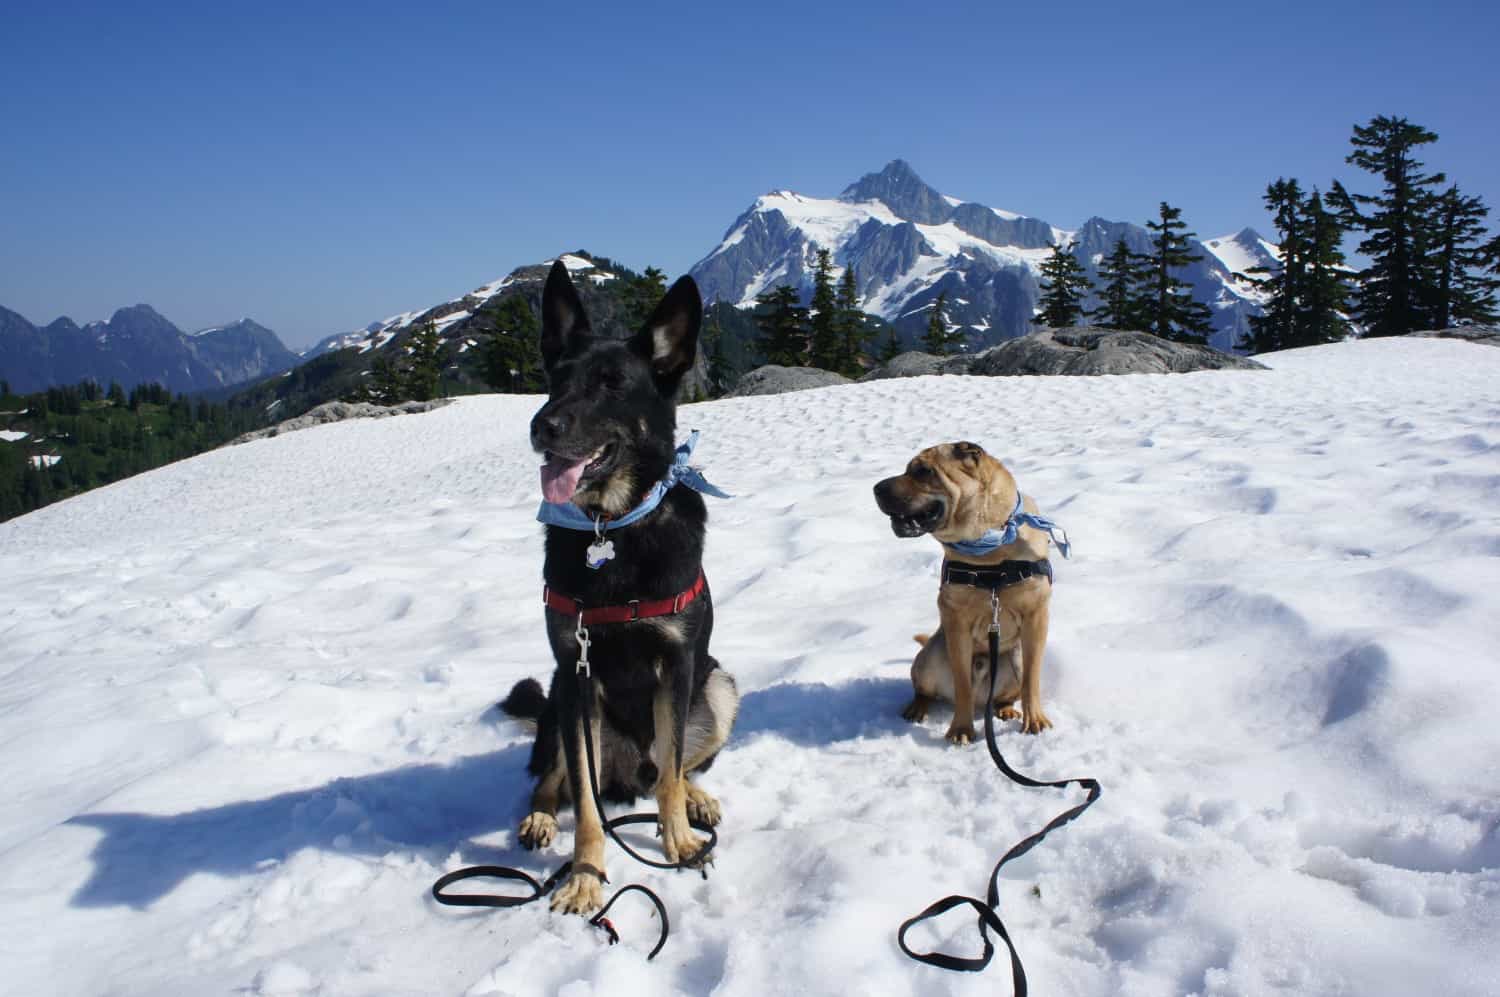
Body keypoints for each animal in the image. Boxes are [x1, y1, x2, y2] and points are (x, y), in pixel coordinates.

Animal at [501, 260, 741, 911]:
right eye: (555, 380)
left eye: (612, 384)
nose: (542, 425)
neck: (613, 527)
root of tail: (626, 774)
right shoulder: (577, 673)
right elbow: (585, 808)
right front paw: (585, 876)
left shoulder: (678, 665)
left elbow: (673, 771)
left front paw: (679, 840)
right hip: (560, 702)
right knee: (553, 780)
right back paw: (538, 818)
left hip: (718, 686)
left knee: (671, 770)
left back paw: (695, 802)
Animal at [876, 440, 1062, 737]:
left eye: (923, 470)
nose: (876, 488)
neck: (991, 553)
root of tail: (981, 703)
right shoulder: (956, 622)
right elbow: (962, 682)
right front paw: (961, 730)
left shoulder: (1036, 615)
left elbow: (1032, 679)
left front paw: (1035, 720)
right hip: (930, 657)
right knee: (924, 689)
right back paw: (916, 708)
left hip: (1014, 658)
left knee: (1008, 692)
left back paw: (1006, 709)